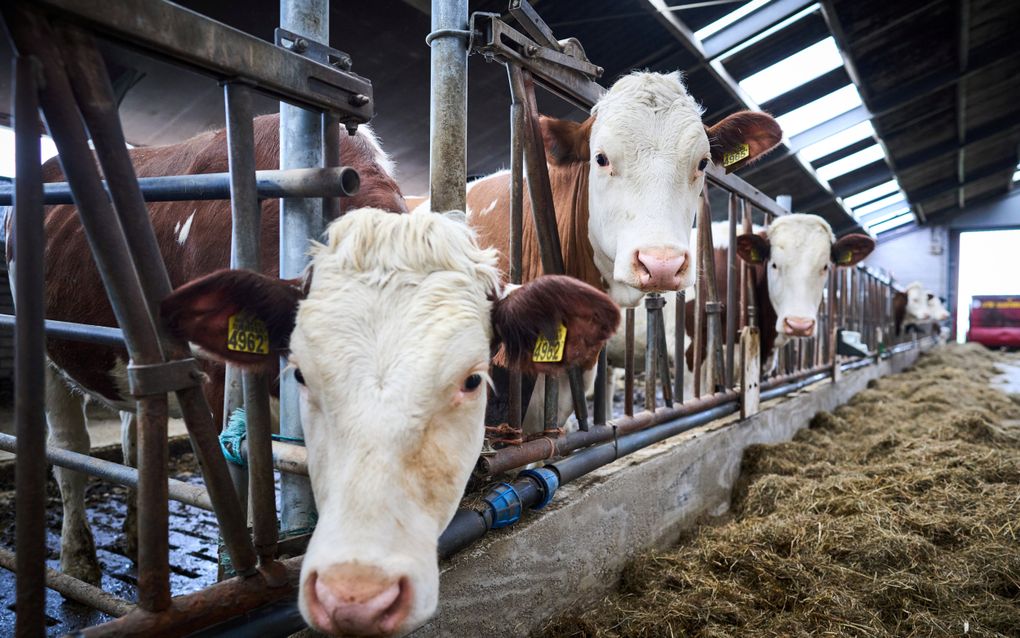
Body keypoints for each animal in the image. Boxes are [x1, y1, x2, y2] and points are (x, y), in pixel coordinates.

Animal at [4, 113, 410, 587]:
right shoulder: (218, 380)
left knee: (135, 443)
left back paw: (137, 538)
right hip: (47, 348)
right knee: (70, 451)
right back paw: (77, 563)